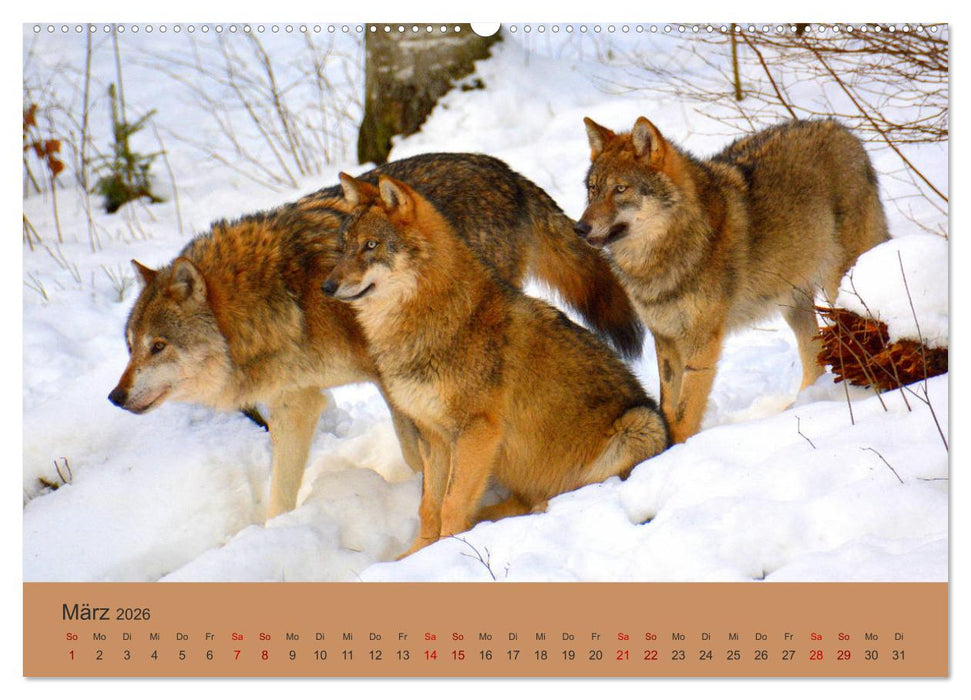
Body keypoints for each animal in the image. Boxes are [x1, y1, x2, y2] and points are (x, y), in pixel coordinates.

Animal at [109, 152, 642, 520]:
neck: (284, 296)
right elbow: (279, 497)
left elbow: (415, 452)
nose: (115, 396)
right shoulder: (295, 403)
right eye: (130, 346)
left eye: (158, 346)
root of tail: (505, 171)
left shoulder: (387, 379)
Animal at [324, 174, 669, 557]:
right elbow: (429, 506)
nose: (327, 286)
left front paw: (447, 553)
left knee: (579, 489)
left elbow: (451, 505)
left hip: (642, 423)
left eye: (371, 245)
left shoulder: (477, 431)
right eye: (344, 246)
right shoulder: (433, 437)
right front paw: (416, 555)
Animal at [576, 117, 889, 443]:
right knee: (814, 362)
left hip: (840, 286)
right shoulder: (666, 340)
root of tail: (843, 130)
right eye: (593, 189)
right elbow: (668, 408)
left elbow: (685, 414)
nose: (580, 228)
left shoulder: (702, 344)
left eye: (620, 189)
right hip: (793, 305)